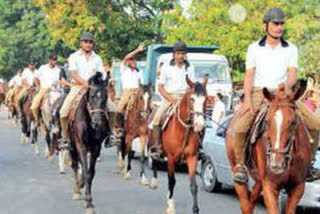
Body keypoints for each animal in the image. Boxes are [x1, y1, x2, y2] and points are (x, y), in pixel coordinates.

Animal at [68, 72, 110, 214]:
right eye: (91, 96)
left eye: (106, 98)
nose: (97, 123)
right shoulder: (81, 145)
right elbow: (85, 171)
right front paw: (87, 201)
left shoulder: (96, 147)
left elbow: (90, 173)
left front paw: (89, 201)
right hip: (72, 145)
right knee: (75, 164)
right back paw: (76, 189)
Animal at [149, 76, 208, 214]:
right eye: (192, 99)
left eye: (206, 99)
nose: (199, 125)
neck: (184, 128)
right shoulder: (170, 158)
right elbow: (172, 181)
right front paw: (171, 206)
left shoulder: (192, 157)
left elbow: (193, 185)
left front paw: (195, 209)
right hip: (153, 146)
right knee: (154, 161)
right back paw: (154, 182)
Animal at [225, 83, 312, 214]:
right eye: (266, 121)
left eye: (293, 122)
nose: (276, 163)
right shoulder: (270, 186)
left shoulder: (298, 187)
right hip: (236, 169)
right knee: (245, 204)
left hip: (259, 179)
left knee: (251, 200)